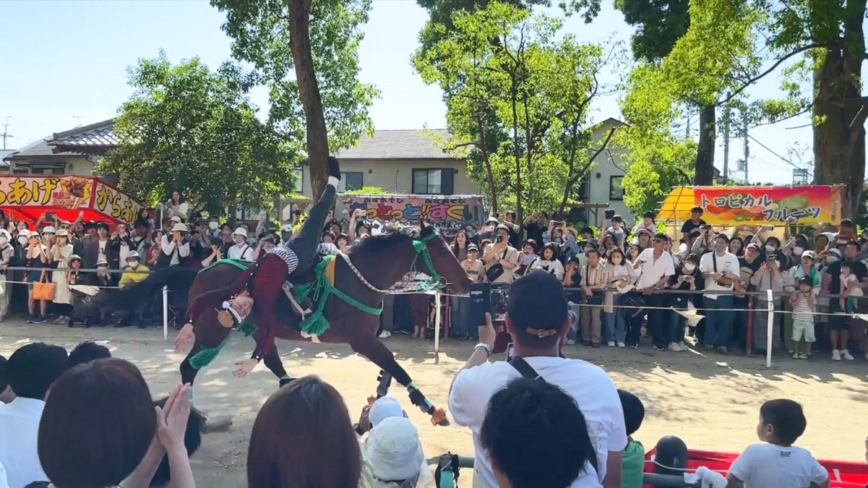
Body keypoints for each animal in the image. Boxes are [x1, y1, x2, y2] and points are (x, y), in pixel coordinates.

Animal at [105, 224, 472, 424]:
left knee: (267, 358)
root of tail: (200, 272)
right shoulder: (361, 340)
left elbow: (390, 368)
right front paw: (430, 408)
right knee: (188, 368)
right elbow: (397, 366)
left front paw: (382, 391)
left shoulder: (368, 338)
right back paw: (191, 413)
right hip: (214, 327)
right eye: (441, 250)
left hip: (250, 325)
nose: (467, 282)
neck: (360, 279)